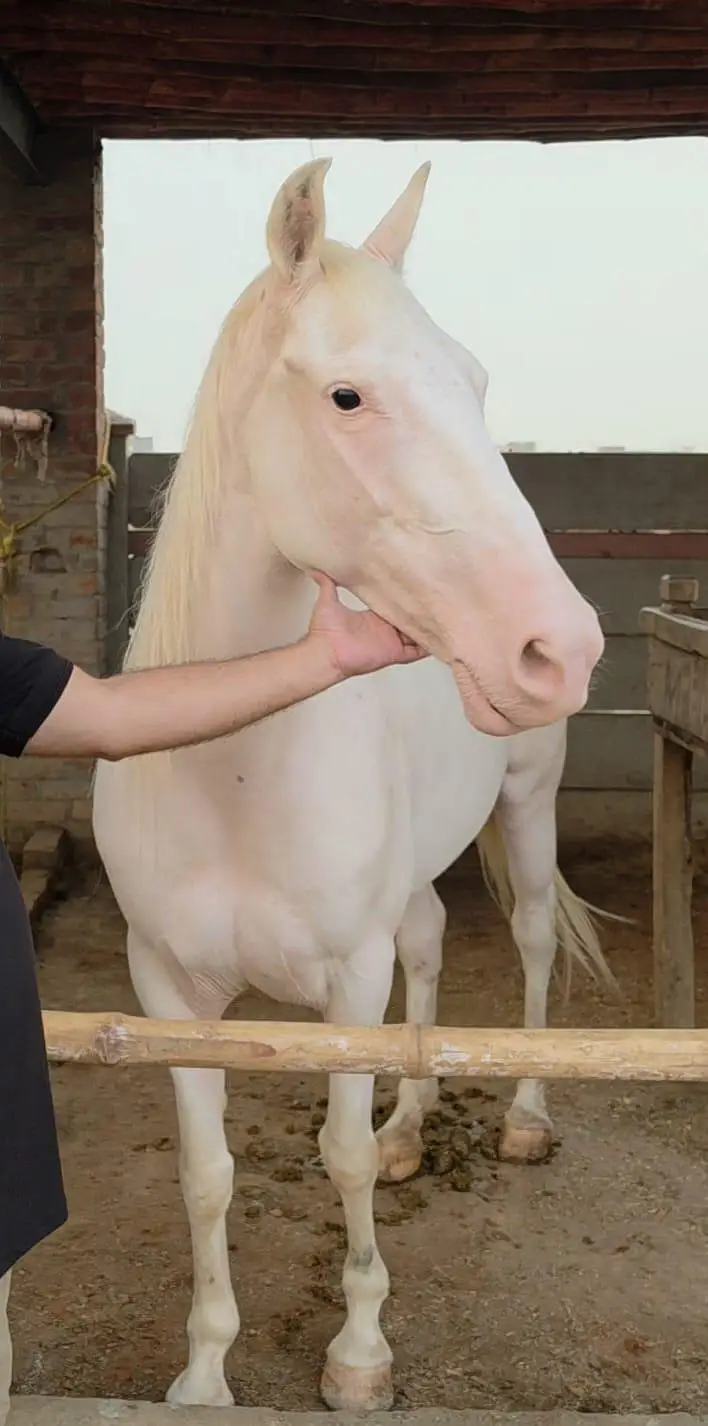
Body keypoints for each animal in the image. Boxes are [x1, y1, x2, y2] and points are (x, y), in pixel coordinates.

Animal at [93, 156, 610, 1414]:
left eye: (476, 380)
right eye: (347, 397)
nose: (559, 646)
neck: (231, 779)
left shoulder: (346, 977)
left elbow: (338, 1154)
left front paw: (360, 1352)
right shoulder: (167, 989)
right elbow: (208, 1171)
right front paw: (203, 1370)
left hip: (527, 808)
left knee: (530, 940)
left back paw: (522, 1121)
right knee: (429, 954)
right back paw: (417, 1127)